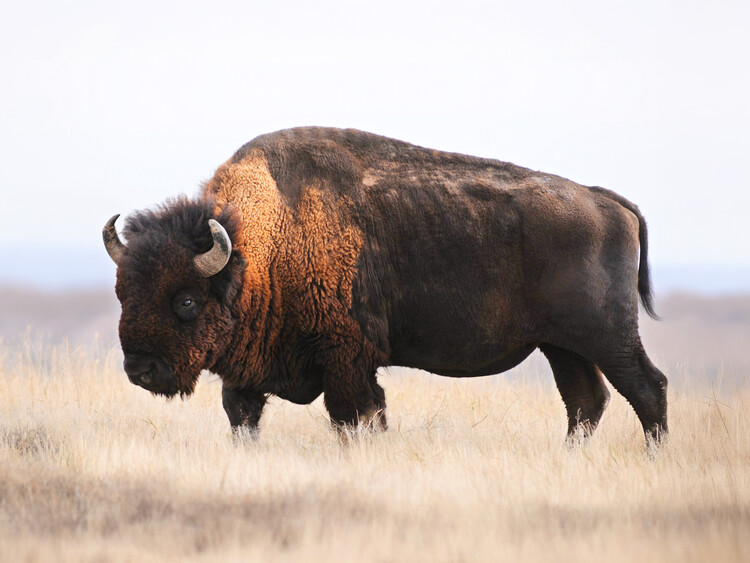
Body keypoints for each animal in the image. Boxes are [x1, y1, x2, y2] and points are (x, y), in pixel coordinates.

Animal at [103, 127, 667, 445]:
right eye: (123, 293)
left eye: (186, 299)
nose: (139, 369)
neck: (260, 244)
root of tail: (604, 200)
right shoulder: (247, 375)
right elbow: (243, 418)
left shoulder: (348, 361)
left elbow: (356, 416)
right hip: (562, 346)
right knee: (585, 401)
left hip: (606, 336)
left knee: (646, 387)